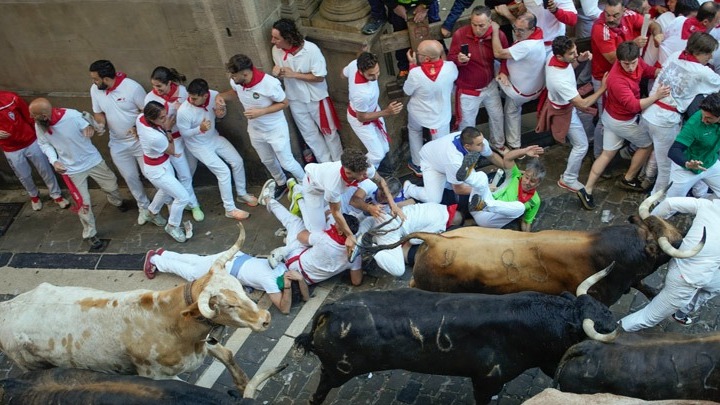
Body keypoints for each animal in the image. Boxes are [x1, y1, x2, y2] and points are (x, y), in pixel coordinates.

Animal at [0, 223, 268, 390]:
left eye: (240, 287)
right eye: (228, 305)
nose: (265, 318)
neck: (170, 321)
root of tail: (9, 306)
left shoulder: (205, 343)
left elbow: (227, 354)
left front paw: (243, 384)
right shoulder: (157, 377)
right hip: (32, 365)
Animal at [296, 288, 616, 404]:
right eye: (585, 335)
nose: (615, 324)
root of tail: (332, 309)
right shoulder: (486, 380)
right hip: (338, 369)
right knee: (320, 389)